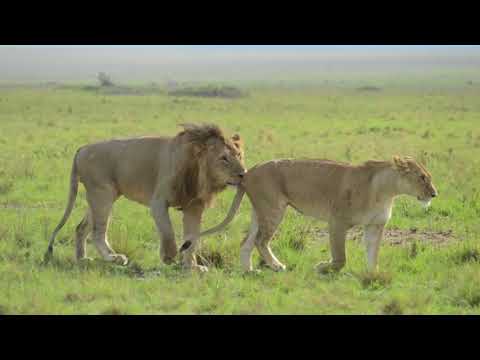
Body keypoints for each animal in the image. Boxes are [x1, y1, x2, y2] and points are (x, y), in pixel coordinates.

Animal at [44, 122, 248, 272]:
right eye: (223, 158)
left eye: (239, 155)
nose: (243, 173)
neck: (199, 172)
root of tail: (82, 148)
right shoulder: (158, 202)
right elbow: (168, 233)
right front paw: (169, 257)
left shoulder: (194, 207)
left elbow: (193, 238)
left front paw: (192, 267)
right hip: (103, 194)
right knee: (97, 232)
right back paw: (114, 257)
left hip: (99, 196)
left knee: (81, 228)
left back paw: (83, 259)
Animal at [192, 156, 438, 272]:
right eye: (422, 177)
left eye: (429, 176)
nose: (435, 194)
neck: (387, 192)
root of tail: (248, 172)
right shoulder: (337, 221)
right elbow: (340, 258)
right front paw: (322, 267)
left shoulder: (375, 226)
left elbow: (372, 253)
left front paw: (372, 274)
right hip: (273, 209)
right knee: (261, 241)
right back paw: (277, 266)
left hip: (259, 211)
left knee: (247, 241)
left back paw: (249, 270)